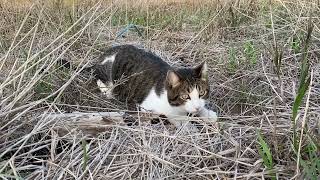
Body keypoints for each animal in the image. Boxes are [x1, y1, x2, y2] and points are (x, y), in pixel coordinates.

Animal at [89, 44, 218, 126]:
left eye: (202, 93)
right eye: (185, 96)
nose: (197, 107)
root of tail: (104, 54)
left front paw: (206, 113)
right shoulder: (147, 107)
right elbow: (172, 115)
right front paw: (186, 124)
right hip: (109, 73)